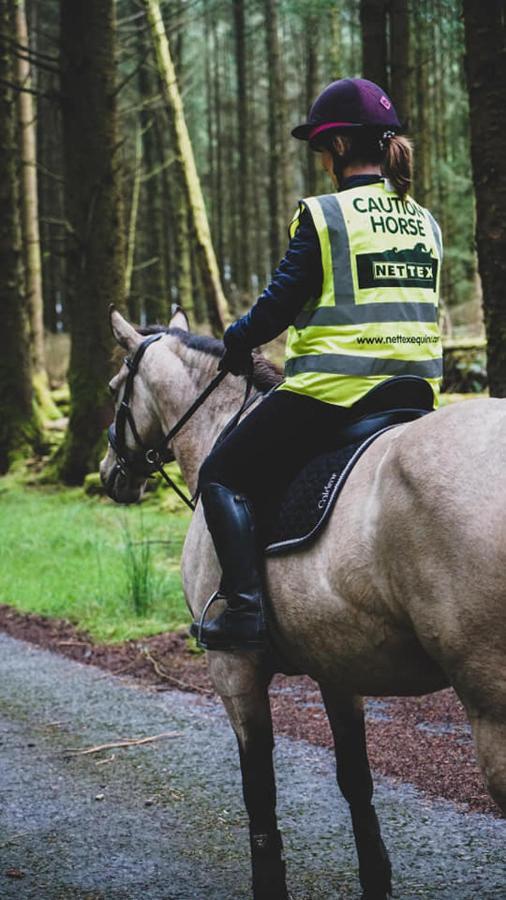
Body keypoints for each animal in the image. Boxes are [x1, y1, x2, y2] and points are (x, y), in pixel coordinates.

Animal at [100, 308, 506, 900]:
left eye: (114, 389)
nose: (109, 474)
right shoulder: (337, 664)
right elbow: (356, 781)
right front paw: (375, 879)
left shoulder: (233, 669)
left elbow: (259, 789)